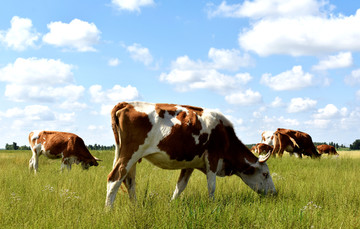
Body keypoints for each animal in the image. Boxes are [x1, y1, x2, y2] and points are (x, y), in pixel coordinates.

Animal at [105, 101, 278, 208]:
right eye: (265, 174)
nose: (275, 194)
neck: (225, 135)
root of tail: (127, 104)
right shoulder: (213, 159)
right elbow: (211, 186)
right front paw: (212, 204)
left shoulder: (190, 164)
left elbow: (180, 186)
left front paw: (172, 204)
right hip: (129, 154)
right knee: (115, 178)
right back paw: (108, 210)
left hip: (128, 156)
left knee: (129, 181)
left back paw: (135, 207)